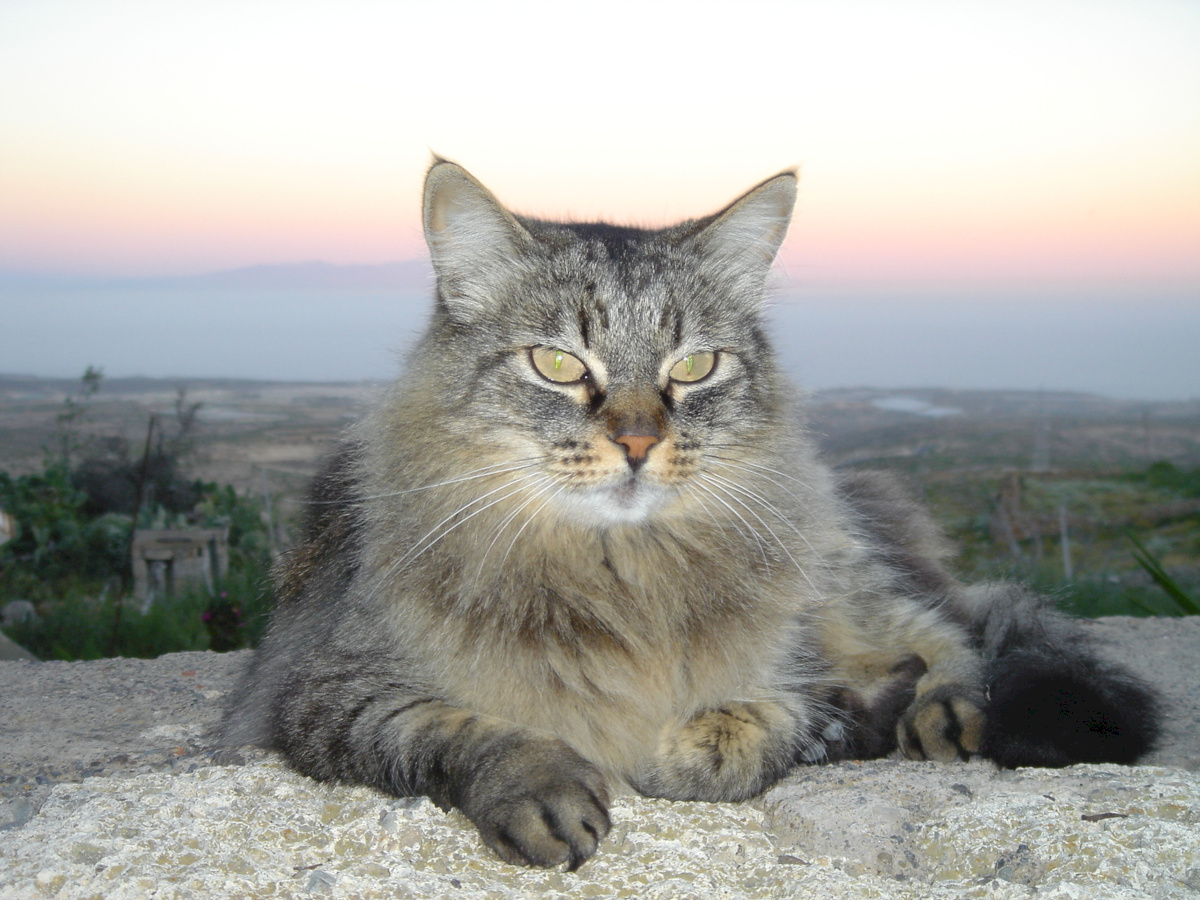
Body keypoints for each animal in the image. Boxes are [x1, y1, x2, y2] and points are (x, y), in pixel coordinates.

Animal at [220, 158, 1156, 868]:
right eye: (559, 364)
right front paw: (538, 784)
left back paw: (941, 709)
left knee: (948, 632)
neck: (618, 575)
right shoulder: (321, 690)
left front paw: (721, 742)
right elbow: (454, 729)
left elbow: (746, 731)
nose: (638, 441)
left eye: (694, 367)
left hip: (841, 573)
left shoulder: (790, 655)